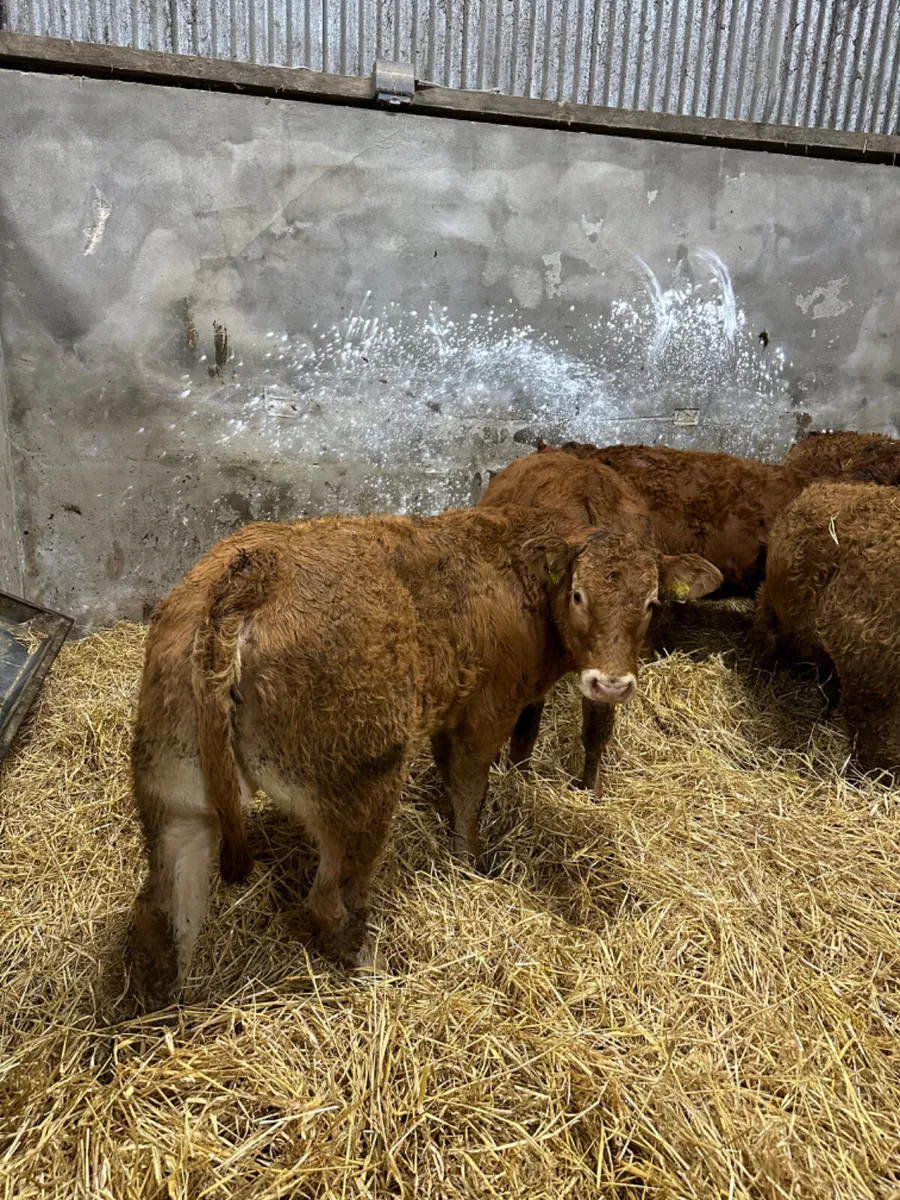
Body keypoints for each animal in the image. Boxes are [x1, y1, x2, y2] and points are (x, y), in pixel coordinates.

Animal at [128, 506, 721, 1010]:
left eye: (652, 603)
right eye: (577, 594)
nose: (611, 684)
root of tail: (250, 576)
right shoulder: (488, 709)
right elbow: (469, 785)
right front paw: (469, 862)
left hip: (173, 791)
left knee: (164, 913)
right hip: (360, 787)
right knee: (329, 901)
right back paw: (378, 968)